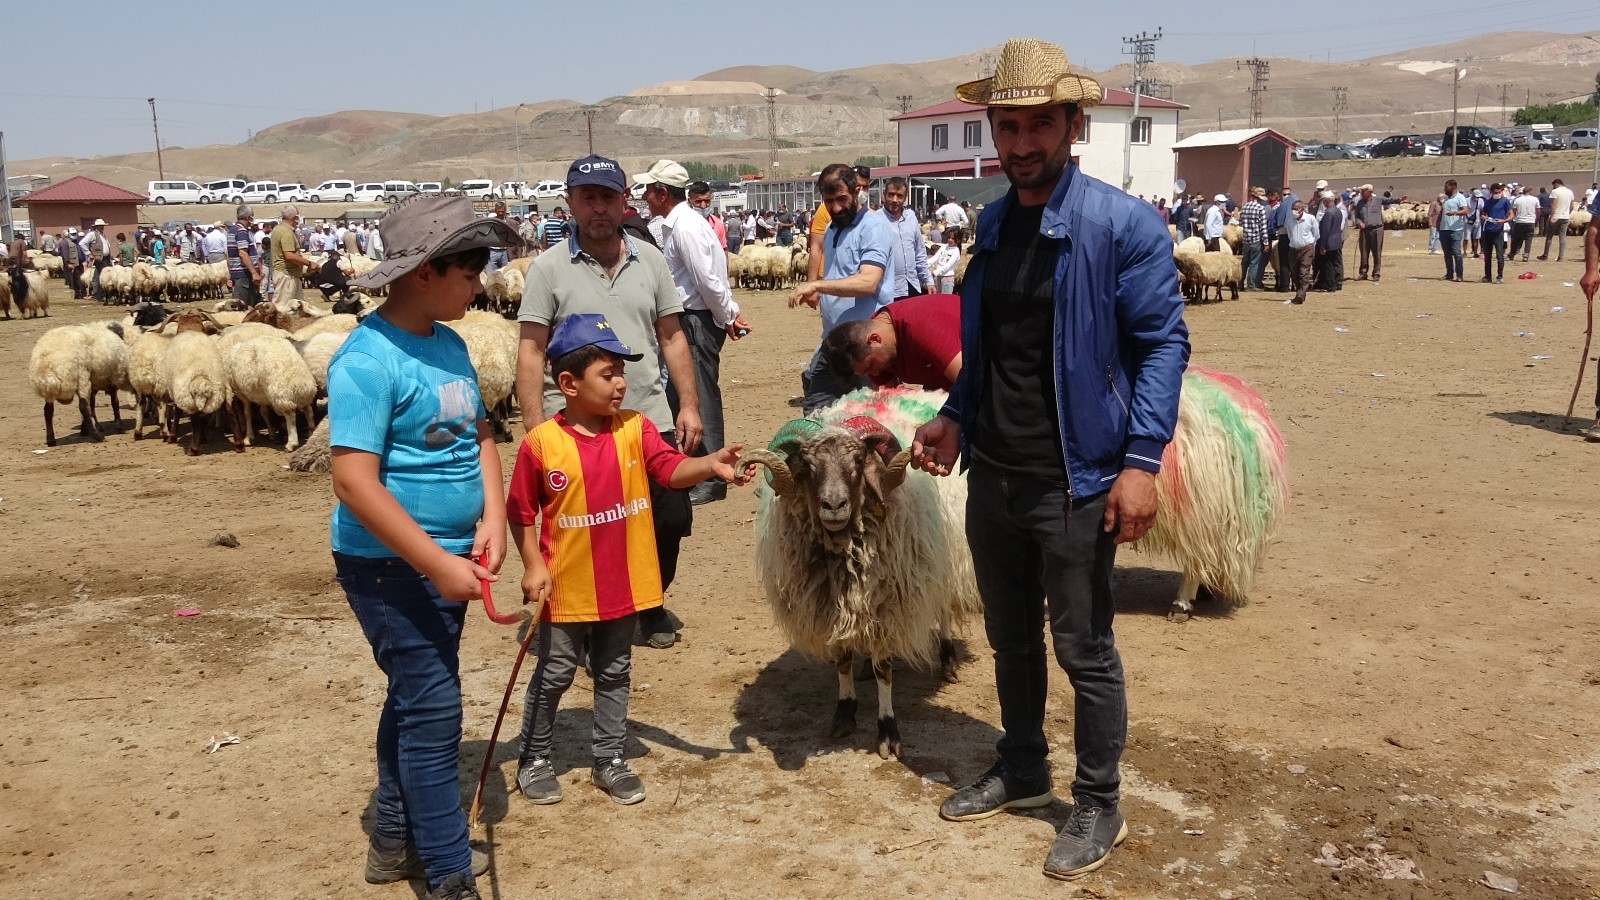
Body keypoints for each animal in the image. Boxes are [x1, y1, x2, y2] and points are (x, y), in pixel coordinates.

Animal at [739, 387, 985, 755]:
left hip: (944, 556)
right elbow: (843, 661)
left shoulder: (889, 604)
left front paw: (887, 732)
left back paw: (947, 658)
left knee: (941, 607)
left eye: (857, 462)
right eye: (808, 465)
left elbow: (885, 671)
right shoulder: (832, 607)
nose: (834, 506)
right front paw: (844, 714)